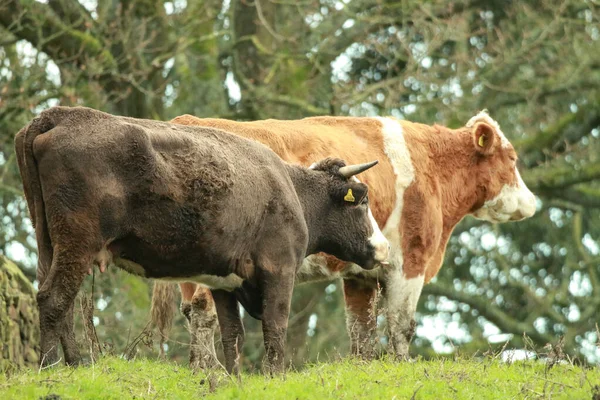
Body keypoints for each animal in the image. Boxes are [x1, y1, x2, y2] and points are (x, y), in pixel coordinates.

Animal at [15, 104, 390, 374]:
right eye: (362, 199)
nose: (384, 247)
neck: (290, 190)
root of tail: (60, 115)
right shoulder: (280, 269)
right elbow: (275, 327)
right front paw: (275, 376)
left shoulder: (224, 280)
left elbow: (232, 336)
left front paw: (236, 379)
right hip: (78, 241)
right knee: (54, 298)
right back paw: (50, 366)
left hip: (49, 243)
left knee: (59, 298)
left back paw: (75, 365)